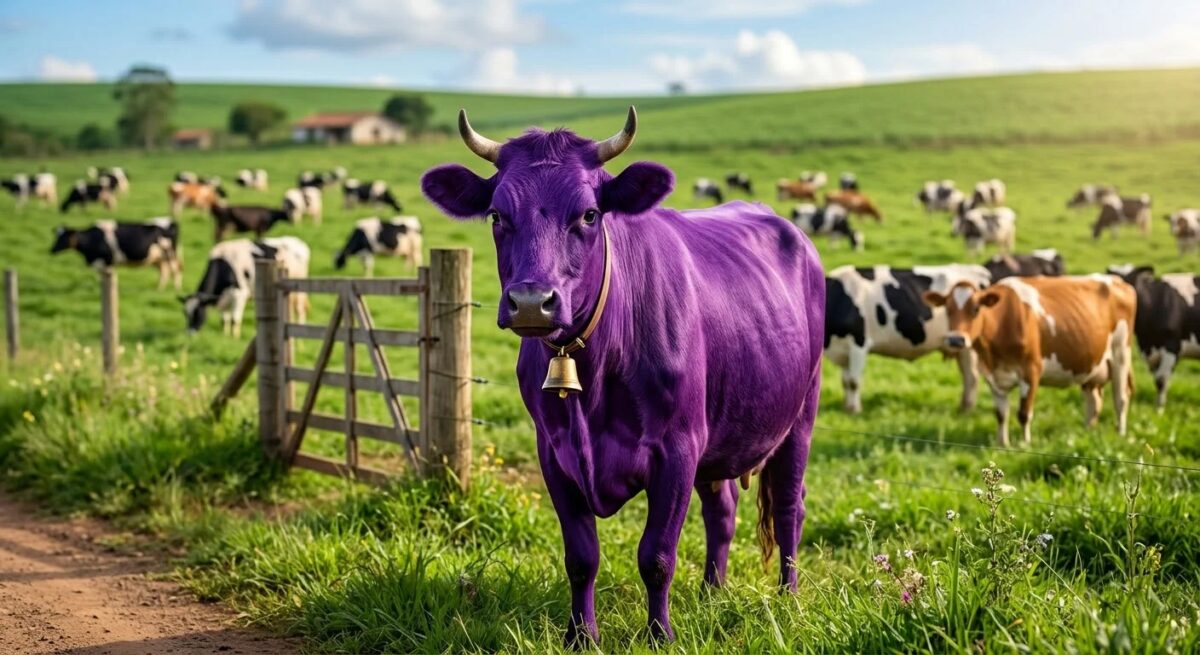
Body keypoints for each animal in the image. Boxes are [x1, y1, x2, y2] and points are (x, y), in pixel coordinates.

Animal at [50, 218, 182, 290]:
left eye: (63, 238)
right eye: (56, 236)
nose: (51, 250)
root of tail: (170, 221)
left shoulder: (108, 261)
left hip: (170, 254)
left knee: (175, 271)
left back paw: (176, 289)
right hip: (158, 258)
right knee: (164, 272)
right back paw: (158, 289)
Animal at [180, 236, 310, 337]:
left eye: (197, 312)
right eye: (185, 314)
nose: (190, 334)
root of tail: (299, 242)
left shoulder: (240, 294)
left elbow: (234, 319)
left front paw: (234, 338)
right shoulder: (224, 297)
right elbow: (224, 320)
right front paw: (225, 336)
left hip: (298, 287)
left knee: (300, 310)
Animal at [421, 107, 824, 645]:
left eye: (590, 214)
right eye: (496, 215)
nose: (531, 302)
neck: (593, 376)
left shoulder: (677, 448)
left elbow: (656, 555)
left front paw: (659, 634)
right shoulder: (554, 452)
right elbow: (581, 557)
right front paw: (580, 635)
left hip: (800, 417)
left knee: (789, 507)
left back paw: (788, 596)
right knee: (721, 511)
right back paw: (711, 592)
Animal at [825, 264, 991, 414]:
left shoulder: (859, 343)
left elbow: (854, 381)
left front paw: (854, 410)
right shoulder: (843, 350)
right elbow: (845, 381)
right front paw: (847, 407)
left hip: (967, 345)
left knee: (971, 376)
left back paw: (966, 409)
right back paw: (964, 407)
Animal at [924, 275, 1136, 445]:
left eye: (976, 309)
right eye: (947, 310)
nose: (955, 339)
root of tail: (1118, 280)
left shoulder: (1031, 371)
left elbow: (1023, 413)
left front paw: (1025, 444)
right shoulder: (992, 377)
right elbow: (1001, 414)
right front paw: (1002, 444)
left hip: (1121, 353)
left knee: (1121, 398)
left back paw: (1120, 433)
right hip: (1090, 366)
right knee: (1094, 401)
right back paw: (1087, 431)